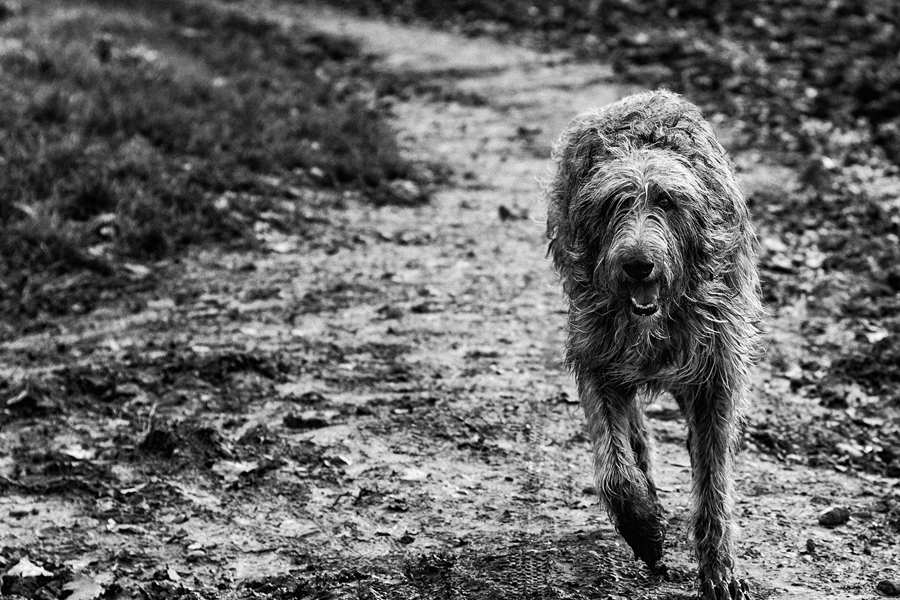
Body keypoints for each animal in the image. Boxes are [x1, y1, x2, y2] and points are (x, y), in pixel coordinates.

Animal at [544, 89, 764, 600]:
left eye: (665, 201)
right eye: (614, 204)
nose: (638, 264)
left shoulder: (715, 376)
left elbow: (713, 478)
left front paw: (718, 568)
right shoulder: (595, 355)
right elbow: (614, 470)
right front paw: (644, 528)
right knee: (631, 429)